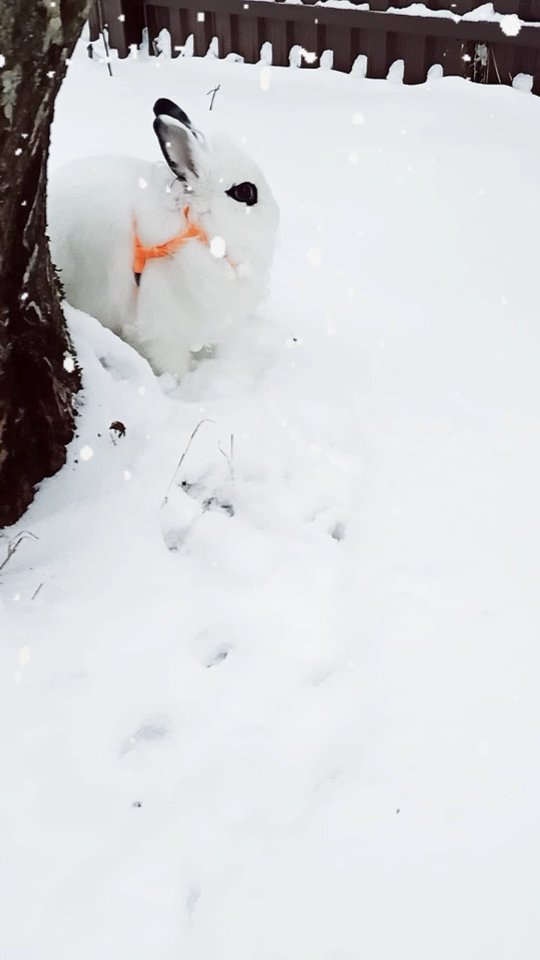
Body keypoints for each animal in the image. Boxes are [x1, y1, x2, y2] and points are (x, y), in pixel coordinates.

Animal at [47, 98, 279, 379]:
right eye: (245, 192)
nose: (277, 216)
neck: (194, 227)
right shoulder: (163, 329)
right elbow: (171, 363)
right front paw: (180, 382)